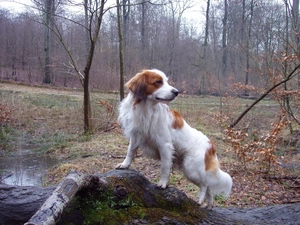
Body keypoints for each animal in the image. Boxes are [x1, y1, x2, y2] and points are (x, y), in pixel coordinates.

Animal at [116, 68, 233, 207]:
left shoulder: (165, 145)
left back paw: (199, 199)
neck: (145, 108)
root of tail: (211, 145)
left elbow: (164, 167)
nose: (176, 92)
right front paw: (125, 164)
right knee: (209, 189)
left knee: (205, 185)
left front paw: (163, 183)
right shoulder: (135, 135)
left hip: (191, 168)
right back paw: (208, 205)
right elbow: (130, 151)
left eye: (166, 81)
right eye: (158, 82)